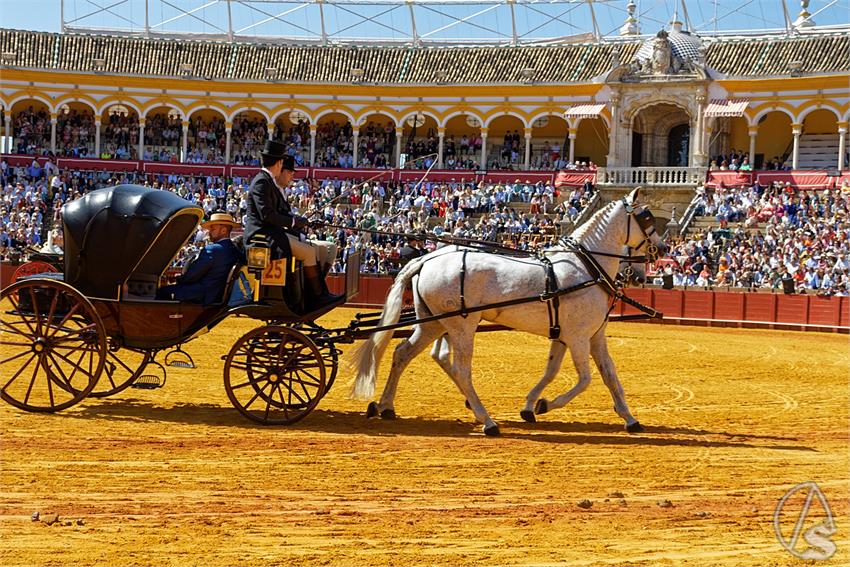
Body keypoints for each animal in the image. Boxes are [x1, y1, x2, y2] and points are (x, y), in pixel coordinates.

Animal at [352, 189, 664, 438]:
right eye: (647, 218)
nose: (660, 250)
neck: (585, 267)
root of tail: (425, 259)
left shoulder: (586, 336)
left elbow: (605, 375)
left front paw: (630, 419)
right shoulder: (577, 338)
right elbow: (585, 379)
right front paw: (544, 405)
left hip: (433, 324)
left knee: (403, 353)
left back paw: (386, 406)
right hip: (461, 326)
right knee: (460, 369)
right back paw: (487, 421)